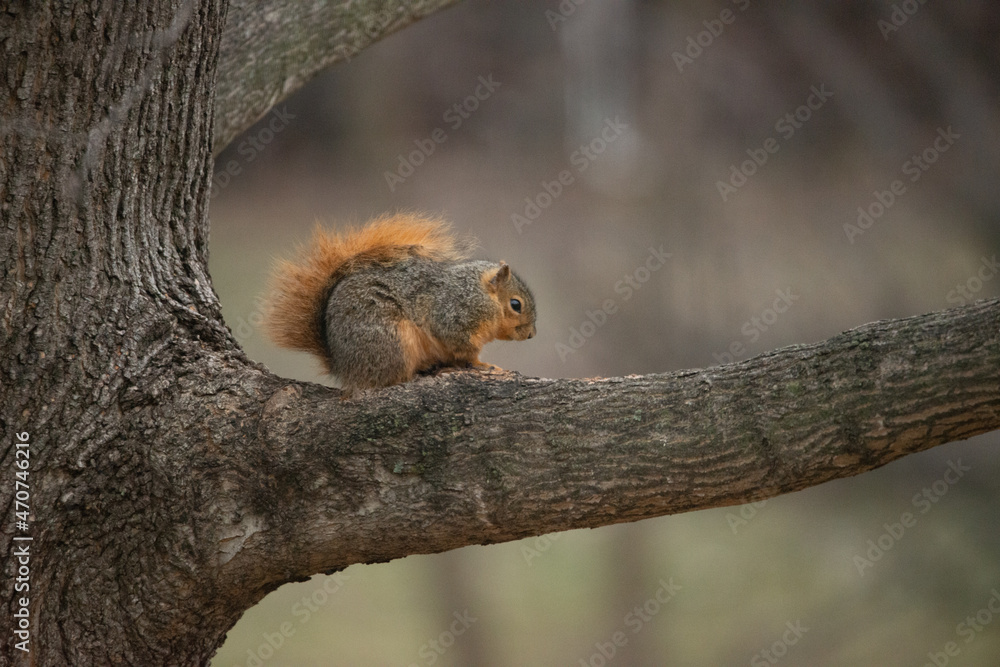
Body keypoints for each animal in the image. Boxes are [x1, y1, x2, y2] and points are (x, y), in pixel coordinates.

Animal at [264, 213, 537, 395]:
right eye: (516, 304)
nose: (532, 334)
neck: (482, 292)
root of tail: (343, 366)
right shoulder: (455, 315)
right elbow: (463, 348)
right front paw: (483, 365)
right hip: (392, 341)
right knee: (391, 379)